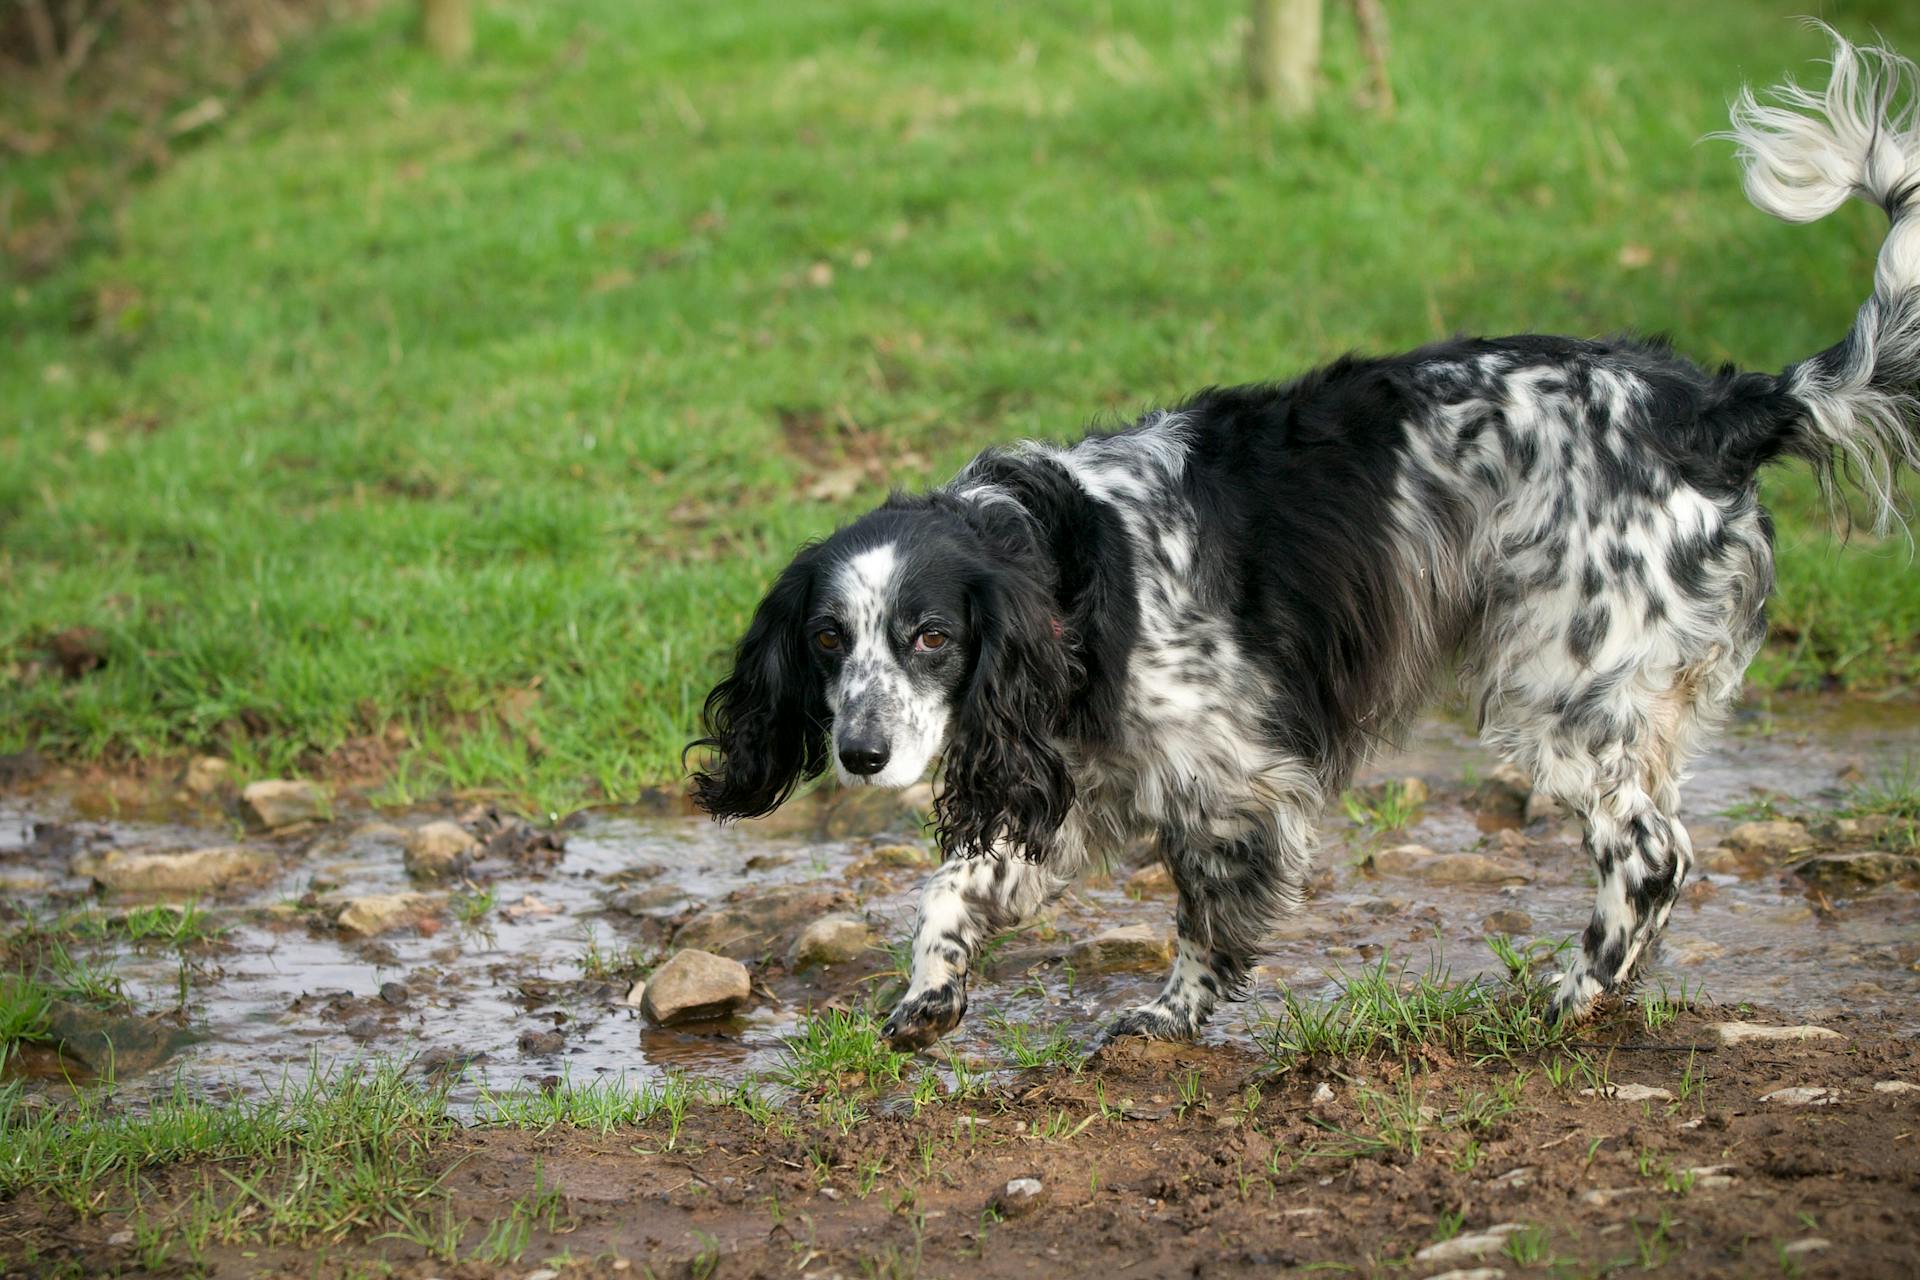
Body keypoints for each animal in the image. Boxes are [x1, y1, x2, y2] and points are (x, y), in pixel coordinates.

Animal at [691, 37, 1920, 1051]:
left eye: (932, 636)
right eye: (827, 640)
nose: (858, 752)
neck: (1069, 567)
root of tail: (1716, 408)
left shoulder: (1233, 777)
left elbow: (1205, 910)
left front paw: (1173, 1014)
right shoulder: (1066, 777)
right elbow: (957, 883)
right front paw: (931, 989)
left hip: (1566, 693)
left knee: (1652, 854)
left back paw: (1571, 998)